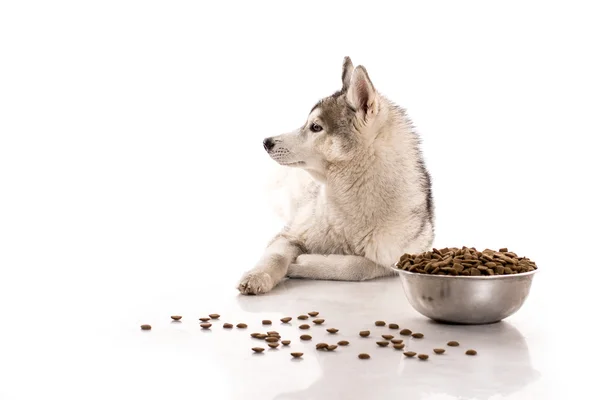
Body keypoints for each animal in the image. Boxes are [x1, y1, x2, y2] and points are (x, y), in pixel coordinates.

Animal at [237, 56, 434, 294]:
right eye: (307, 123)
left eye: (315, 127)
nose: (267, 142)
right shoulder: (289, 234)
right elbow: (275, 256)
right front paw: (258, 276)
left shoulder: (392, 258)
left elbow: (358, 266)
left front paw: (304, 263)